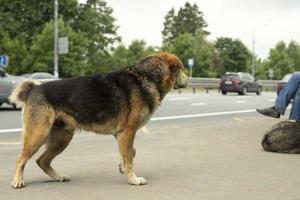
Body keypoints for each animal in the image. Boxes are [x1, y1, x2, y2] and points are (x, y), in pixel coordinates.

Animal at [9, 52, 188, 188]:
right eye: (181, 70)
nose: (188, 81)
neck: (146, 77)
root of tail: (34, 88)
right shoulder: (128, 132)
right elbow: (129, 157)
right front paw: (133, 178)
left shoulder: (122, 135)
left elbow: (130, 153)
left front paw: (122, 167)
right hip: (38, 135)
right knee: (21, 159)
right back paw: (18, 180)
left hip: (62, 138)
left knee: (42, 161)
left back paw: (58, 176)